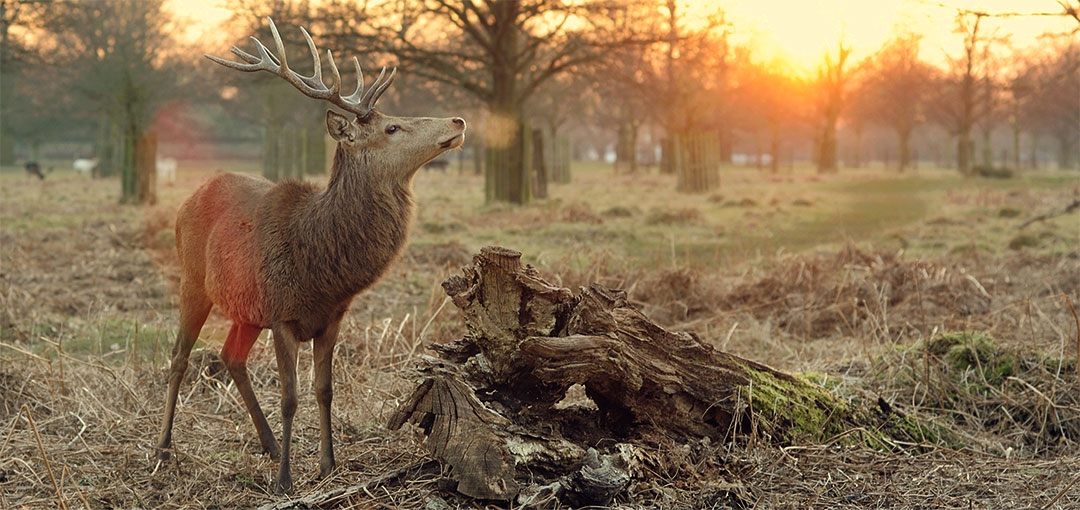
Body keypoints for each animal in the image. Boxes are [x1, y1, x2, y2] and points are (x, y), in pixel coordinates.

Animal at [154, 18, 466, 494]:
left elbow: (324, 389)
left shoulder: (331, 316)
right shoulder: (283, 316)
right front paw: (286, 479)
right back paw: (164, 449)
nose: (458, 118)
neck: (320, 267)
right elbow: (289, 397)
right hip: (192, 280)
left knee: (230, 356)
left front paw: (328, 465)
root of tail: (191, 195)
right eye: (392, 128)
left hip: (247, 309)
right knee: (179, 357)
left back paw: (266, 443)